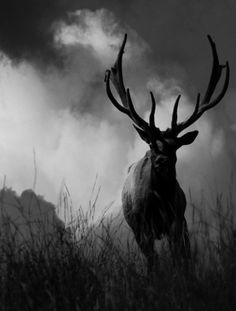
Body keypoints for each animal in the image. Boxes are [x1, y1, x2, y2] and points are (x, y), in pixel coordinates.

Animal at [104, 34, 229, 272]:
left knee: (186, 252)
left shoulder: (176, 219)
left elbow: (178, 255)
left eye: (176, 146)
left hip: (183, 221)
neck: (159, 198)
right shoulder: (142, 226)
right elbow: (153, 261)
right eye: (152, 145)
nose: (162, 161)